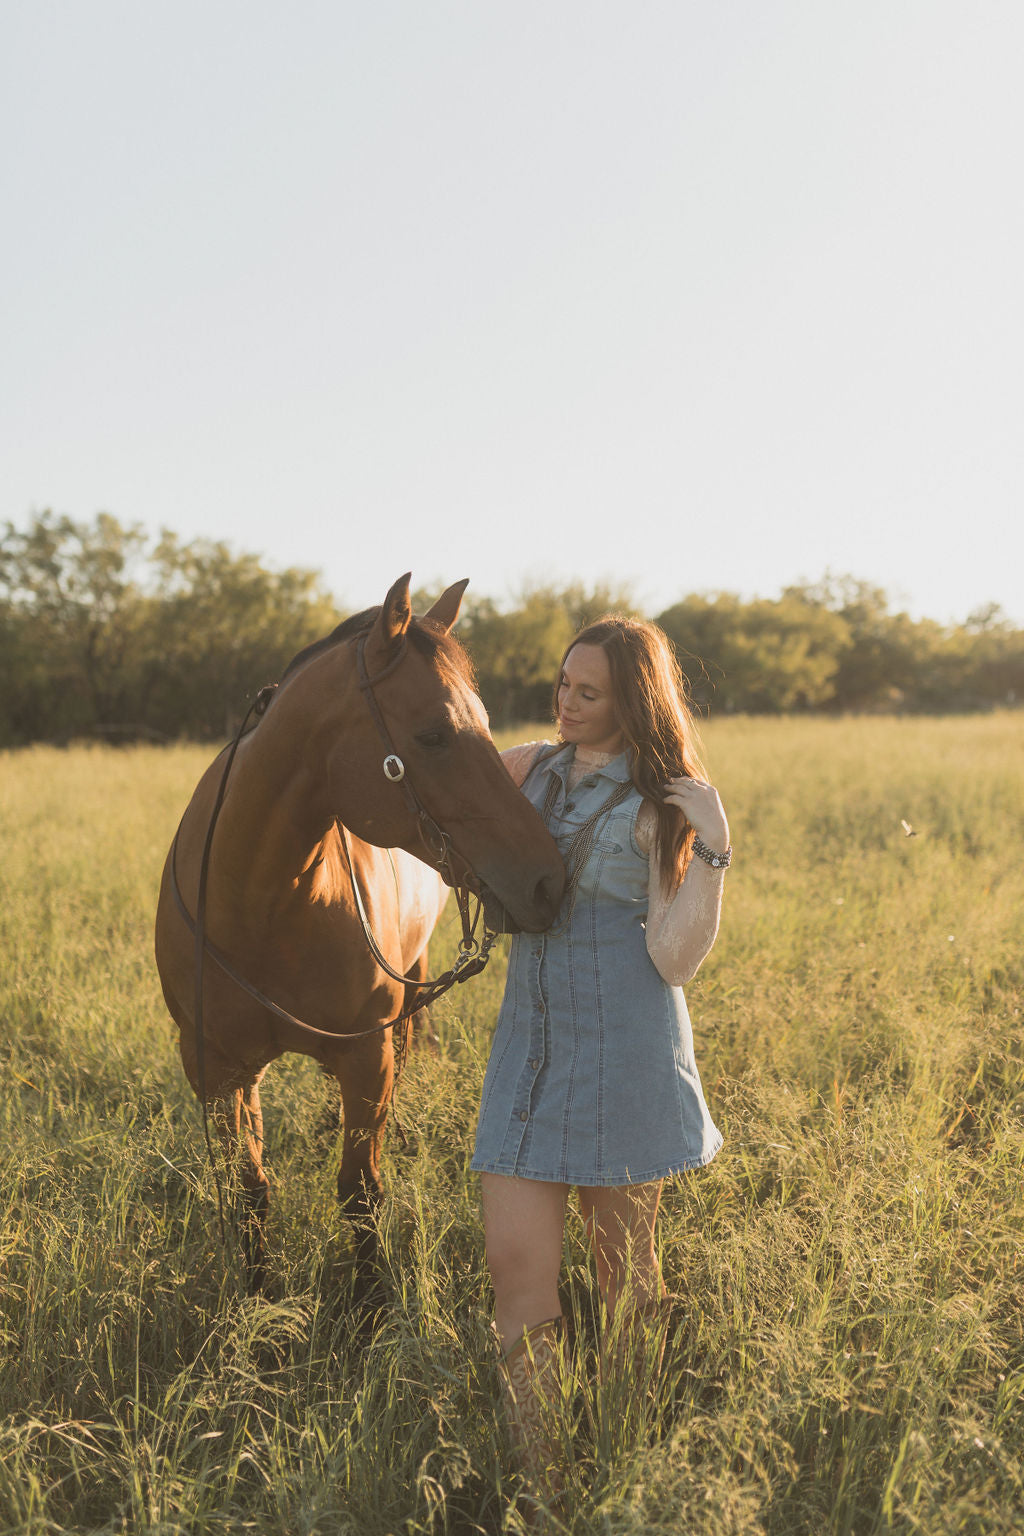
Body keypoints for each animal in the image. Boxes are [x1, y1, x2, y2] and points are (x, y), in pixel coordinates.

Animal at [156, 574, 564, 1284]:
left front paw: (371, 1297)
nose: (549, 881)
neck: (261, 905)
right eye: (433, 735)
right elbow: (249, 1189)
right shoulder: (216, 1068)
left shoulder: (365, 1056)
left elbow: (360, 1191)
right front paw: (257, 1294)